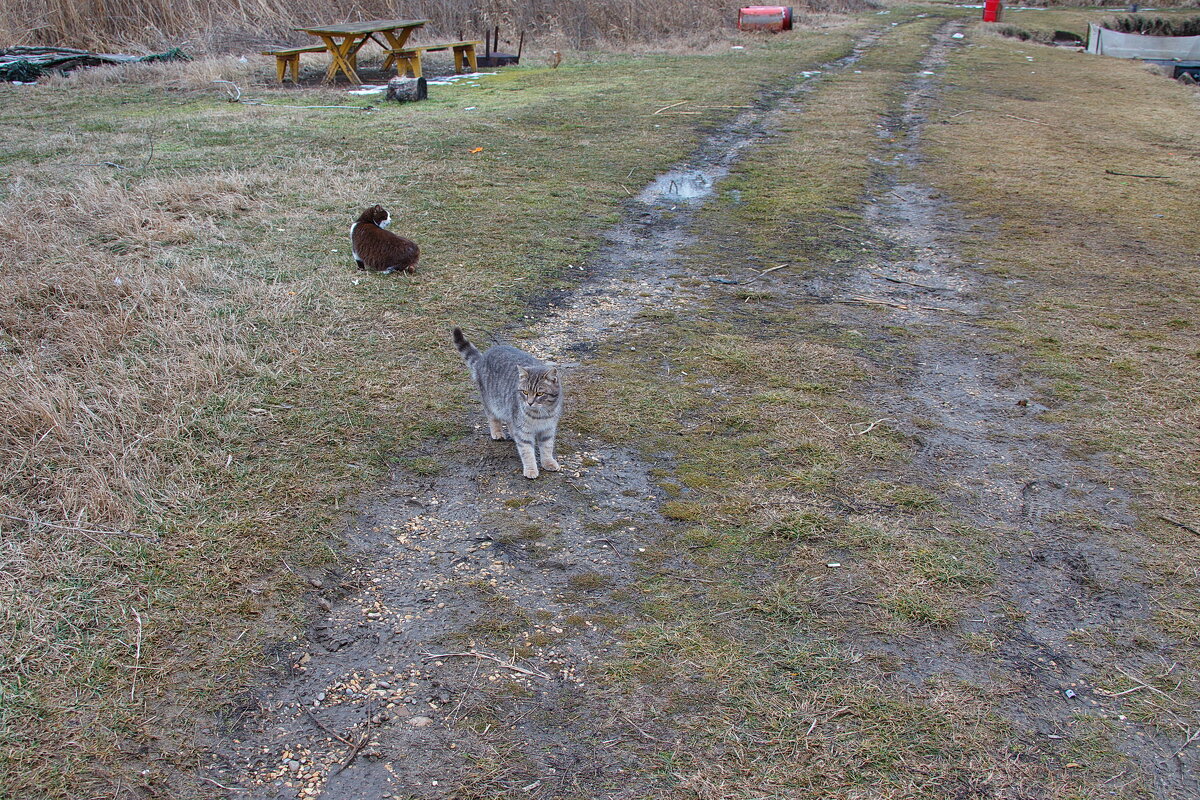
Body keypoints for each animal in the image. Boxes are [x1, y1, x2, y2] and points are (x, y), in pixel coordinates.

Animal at [451, 326, 564, 479]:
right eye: (525, 392)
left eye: (540, 394)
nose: (529, 403)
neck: (540, 415)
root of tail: (483, 357)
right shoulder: (523, 431)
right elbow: (527, 452)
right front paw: (531, 469)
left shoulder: (548, 429)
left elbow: (547, 448)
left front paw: (548, 462)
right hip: (491, 402)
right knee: (493, 418)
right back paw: (497, 432)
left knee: (510, 422)